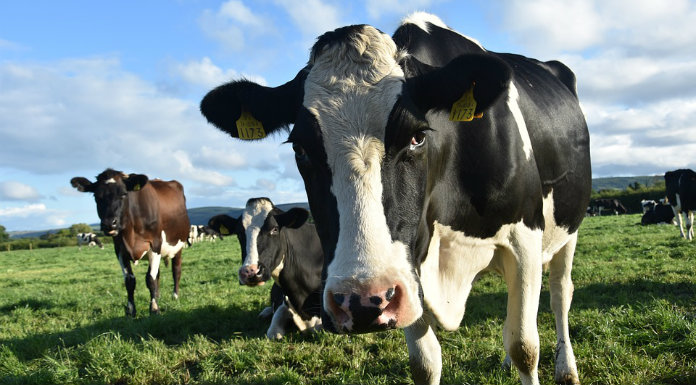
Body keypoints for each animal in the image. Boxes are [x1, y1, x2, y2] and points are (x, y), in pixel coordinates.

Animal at [71, 168, 190, 316]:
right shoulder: (120, 250)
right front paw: (131, 310)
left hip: (178, 246)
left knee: (176, 270)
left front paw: (154, 308)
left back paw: (175, 295)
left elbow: (150, 279)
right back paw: (157, 295)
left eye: (123, 194)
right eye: (96, 196)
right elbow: (130, 281)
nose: (109, 223)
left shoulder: (155, 245)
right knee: (158, 274)